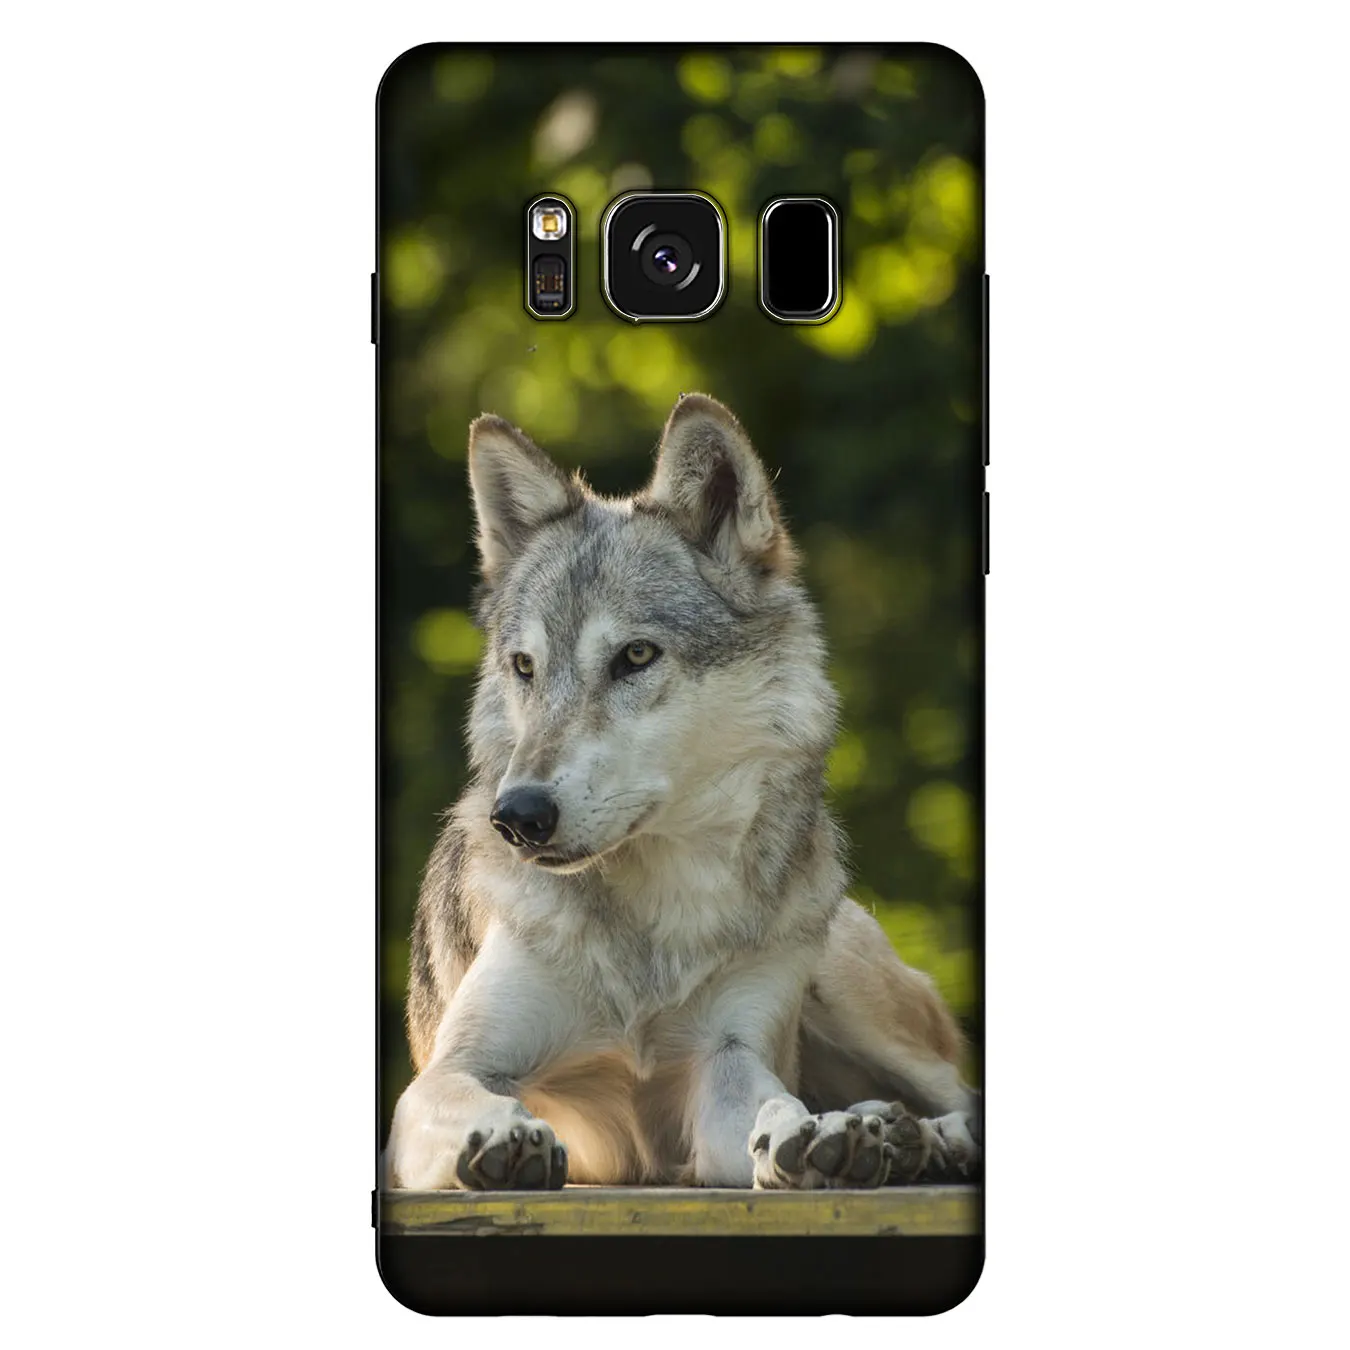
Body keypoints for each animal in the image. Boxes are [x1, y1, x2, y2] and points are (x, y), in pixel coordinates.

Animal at [384, 393, 980, 1191]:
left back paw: (918, 1136)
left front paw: (821, 1137)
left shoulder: (727, 1058)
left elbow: (777, 1103)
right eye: (524, 667)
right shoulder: (447, 1075)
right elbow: (464, 1096)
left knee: (960, 1095)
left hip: (847, 993)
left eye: (635, 655)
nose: (518, 816)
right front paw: (503, 1136)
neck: (653, 931)